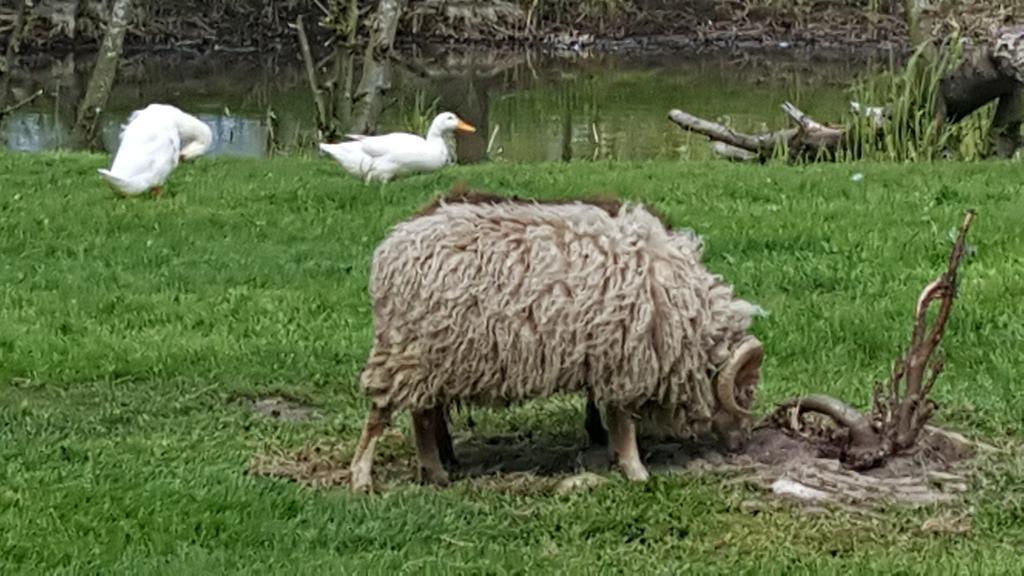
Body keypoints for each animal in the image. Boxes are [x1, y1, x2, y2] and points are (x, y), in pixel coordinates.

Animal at [348, 188, 765, 487]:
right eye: (744, 390)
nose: (743, 442)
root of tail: (392, 248)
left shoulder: (609, 359)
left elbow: (611, 418)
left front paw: (618, 459)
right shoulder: (625, 360)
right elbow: (623, 423)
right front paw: (637, 472)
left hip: (432, 357)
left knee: (421, 415)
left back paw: (436, 474)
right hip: (407, 349)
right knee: (380, 413)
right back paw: (361, 478)